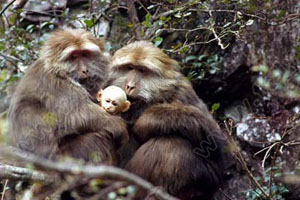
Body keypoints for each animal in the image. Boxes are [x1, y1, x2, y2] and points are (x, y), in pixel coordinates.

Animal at [8, 28, 127, 166]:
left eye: (85, 54)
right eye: (74, 56)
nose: (85, 70)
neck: (59, 71)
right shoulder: (57, 85)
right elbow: (77, 115)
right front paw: (119, 126)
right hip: (64, 157)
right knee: (98, 137)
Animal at [108, 40, 225, 200]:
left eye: (142, 70)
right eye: (129, 68)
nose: (129, 86)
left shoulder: (183, 92)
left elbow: (216, 147)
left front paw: (147, 120)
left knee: (171, 141)